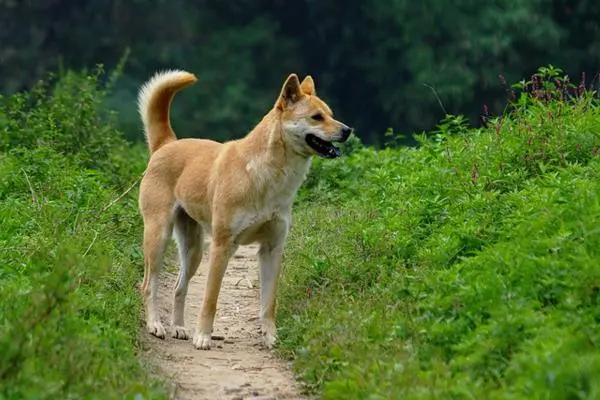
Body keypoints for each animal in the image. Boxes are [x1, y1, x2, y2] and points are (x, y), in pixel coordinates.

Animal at [136, 69, 352, 350]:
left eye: (331, 114)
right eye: (317, 117)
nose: (348, 130)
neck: (266, 175)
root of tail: (167, 144)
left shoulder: (272, 249)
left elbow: (268, 304)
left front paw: (271, 338)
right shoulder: (222, 247)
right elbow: (210, 300)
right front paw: (203, 336)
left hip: (193, 251)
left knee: (178, 288)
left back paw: (180, 328)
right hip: (159, 237)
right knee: (148, 285)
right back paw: (155, 325)